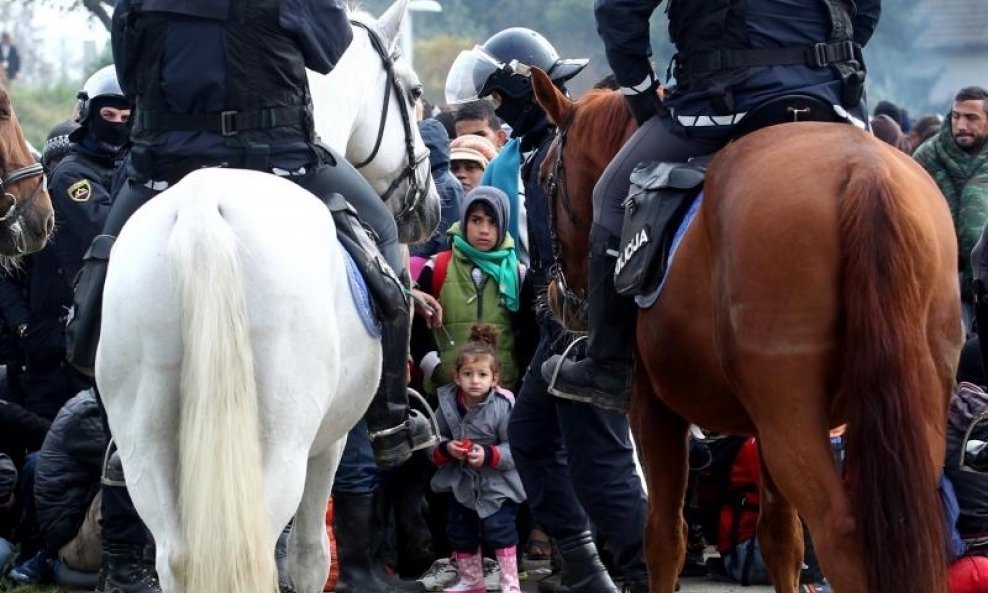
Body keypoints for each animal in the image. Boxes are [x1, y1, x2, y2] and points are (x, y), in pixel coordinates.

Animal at [95, 1, 440, 592]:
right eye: (414, 91)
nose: (430, 206)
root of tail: (203, 210)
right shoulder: (327, 442)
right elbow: (308, 557)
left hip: (146, 445)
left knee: (175, 557)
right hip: (280, 445)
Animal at [532, 67, 964, 592]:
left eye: (543, 176)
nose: (557, 300)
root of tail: (863, 174)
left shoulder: (653, 409)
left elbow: (664, 537)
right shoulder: (760, 433)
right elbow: (781, 540)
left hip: (791, 417)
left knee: (840, 532)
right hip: (903, 408)